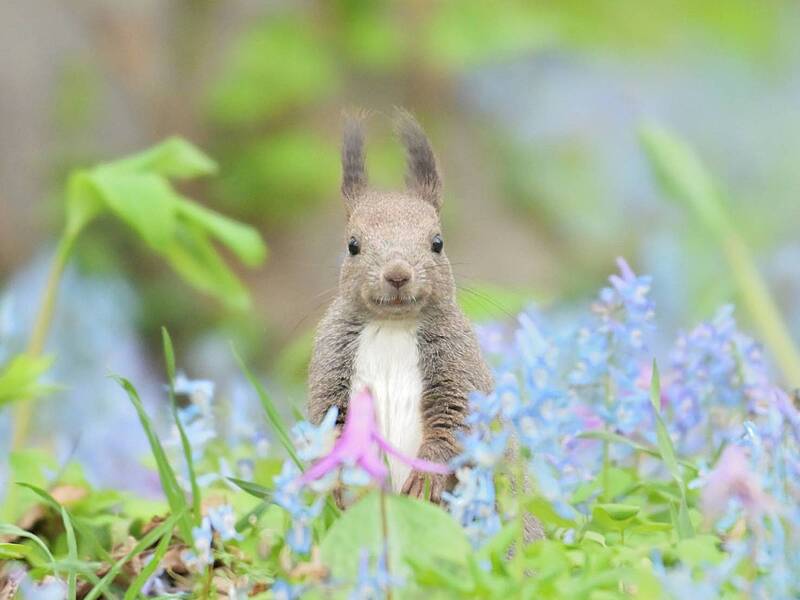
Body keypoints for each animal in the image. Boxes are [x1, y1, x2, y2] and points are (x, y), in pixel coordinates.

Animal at [308, 111, 490, 502]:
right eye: (353, 245)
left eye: (438, 242)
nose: (397, 275)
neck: (392, 325)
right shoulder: (330, 358)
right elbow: (328, 423)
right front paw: (340, 484)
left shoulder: (457, 359)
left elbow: (454, 424)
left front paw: (424, 481)